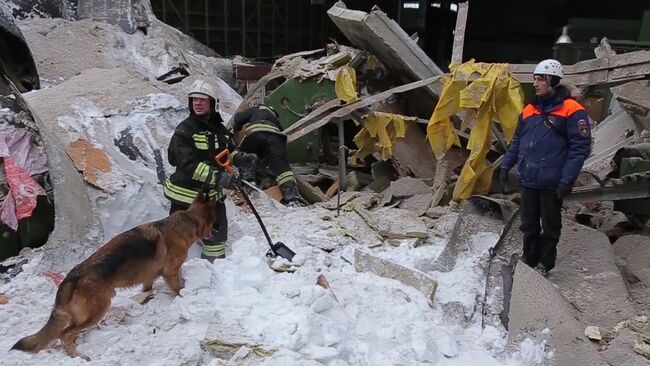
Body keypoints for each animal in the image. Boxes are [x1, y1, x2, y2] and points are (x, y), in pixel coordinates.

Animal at [11, 194, 218, 360]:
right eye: (215, 221)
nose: (216, 232)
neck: (190, 219)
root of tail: (71, 278)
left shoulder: (148, 278)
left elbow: (148, 289)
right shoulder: (171, 272)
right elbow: (179, 289)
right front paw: (184, 297)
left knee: (61, 334)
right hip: (97, 311)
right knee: (65, 334)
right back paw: (78, 355)